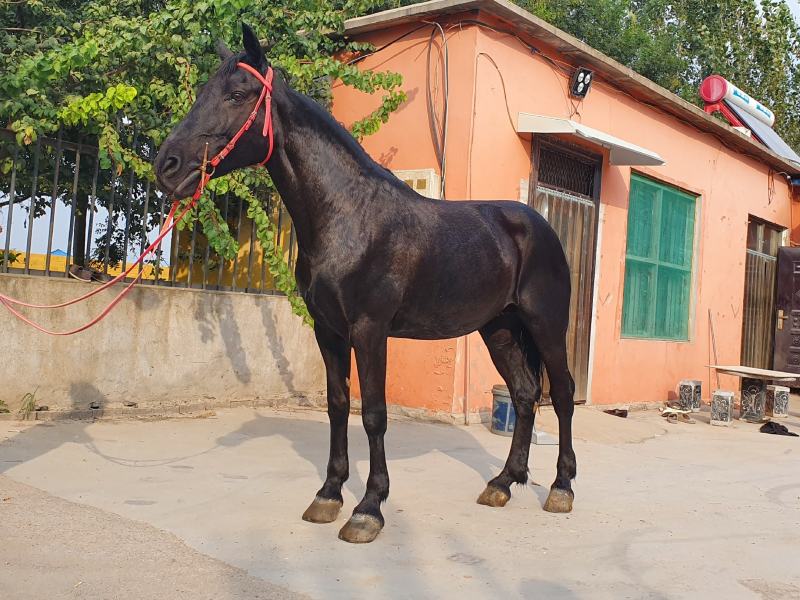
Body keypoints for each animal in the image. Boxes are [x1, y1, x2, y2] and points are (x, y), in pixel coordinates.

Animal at [154, 23, 576, 544]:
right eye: (202, 93)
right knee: (523, 393)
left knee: (561, 393)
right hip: (498, 328)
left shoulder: (370, 329)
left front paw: (369, 508)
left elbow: (374, 414)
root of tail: (538, 225)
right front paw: (329, 494)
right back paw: (502, 482)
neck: (347, 214)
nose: (167, 165)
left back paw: (561, 488)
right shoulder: (328, 330)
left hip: (546, 325)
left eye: (237, 93)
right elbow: (338, 406)